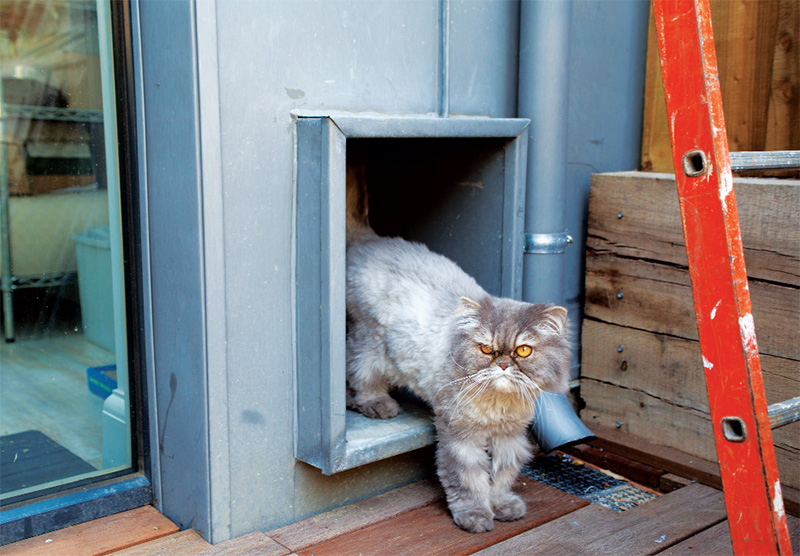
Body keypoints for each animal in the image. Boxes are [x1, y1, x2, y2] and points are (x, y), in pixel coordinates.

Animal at [344, 164, 568, 528]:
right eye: (486, 349)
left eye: (523, 351)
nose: (502, 365)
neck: (499, 405)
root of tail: (371, 241)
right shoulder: (461, 436)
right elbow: (468, 480)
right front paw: (476, 517)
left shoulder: (509, 438)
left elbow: (502, 478)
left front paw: (502, 507)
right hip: (370, 348)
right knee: (361, 381)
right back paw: (379, 405)